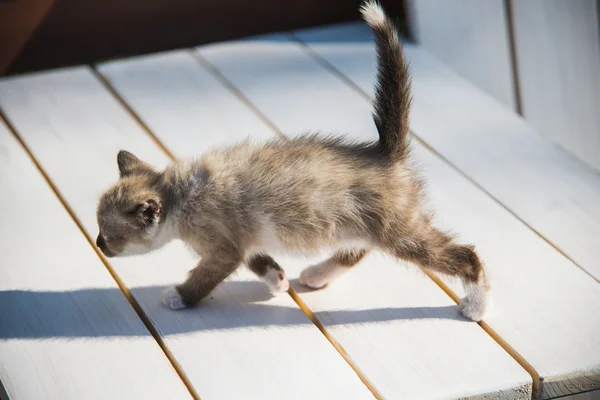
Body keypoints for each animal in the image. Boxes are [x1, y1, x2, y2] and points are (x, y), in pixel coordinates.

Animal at [92, 0, 488, 320]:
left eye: (109, 234)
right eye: (99, 230)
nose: (97, 244)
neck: (178, 193)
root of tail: (383, 152)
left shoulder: (222, 248)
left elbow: (205, 276)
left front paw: (179, 296)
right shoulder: (243, 239)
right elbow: (257, 260)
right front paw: (278, 279)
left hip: (399, 231)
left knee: (465, 256)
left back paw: (477, 305)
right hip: (360, 222)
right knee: (357, 249)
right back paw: (317, 274)